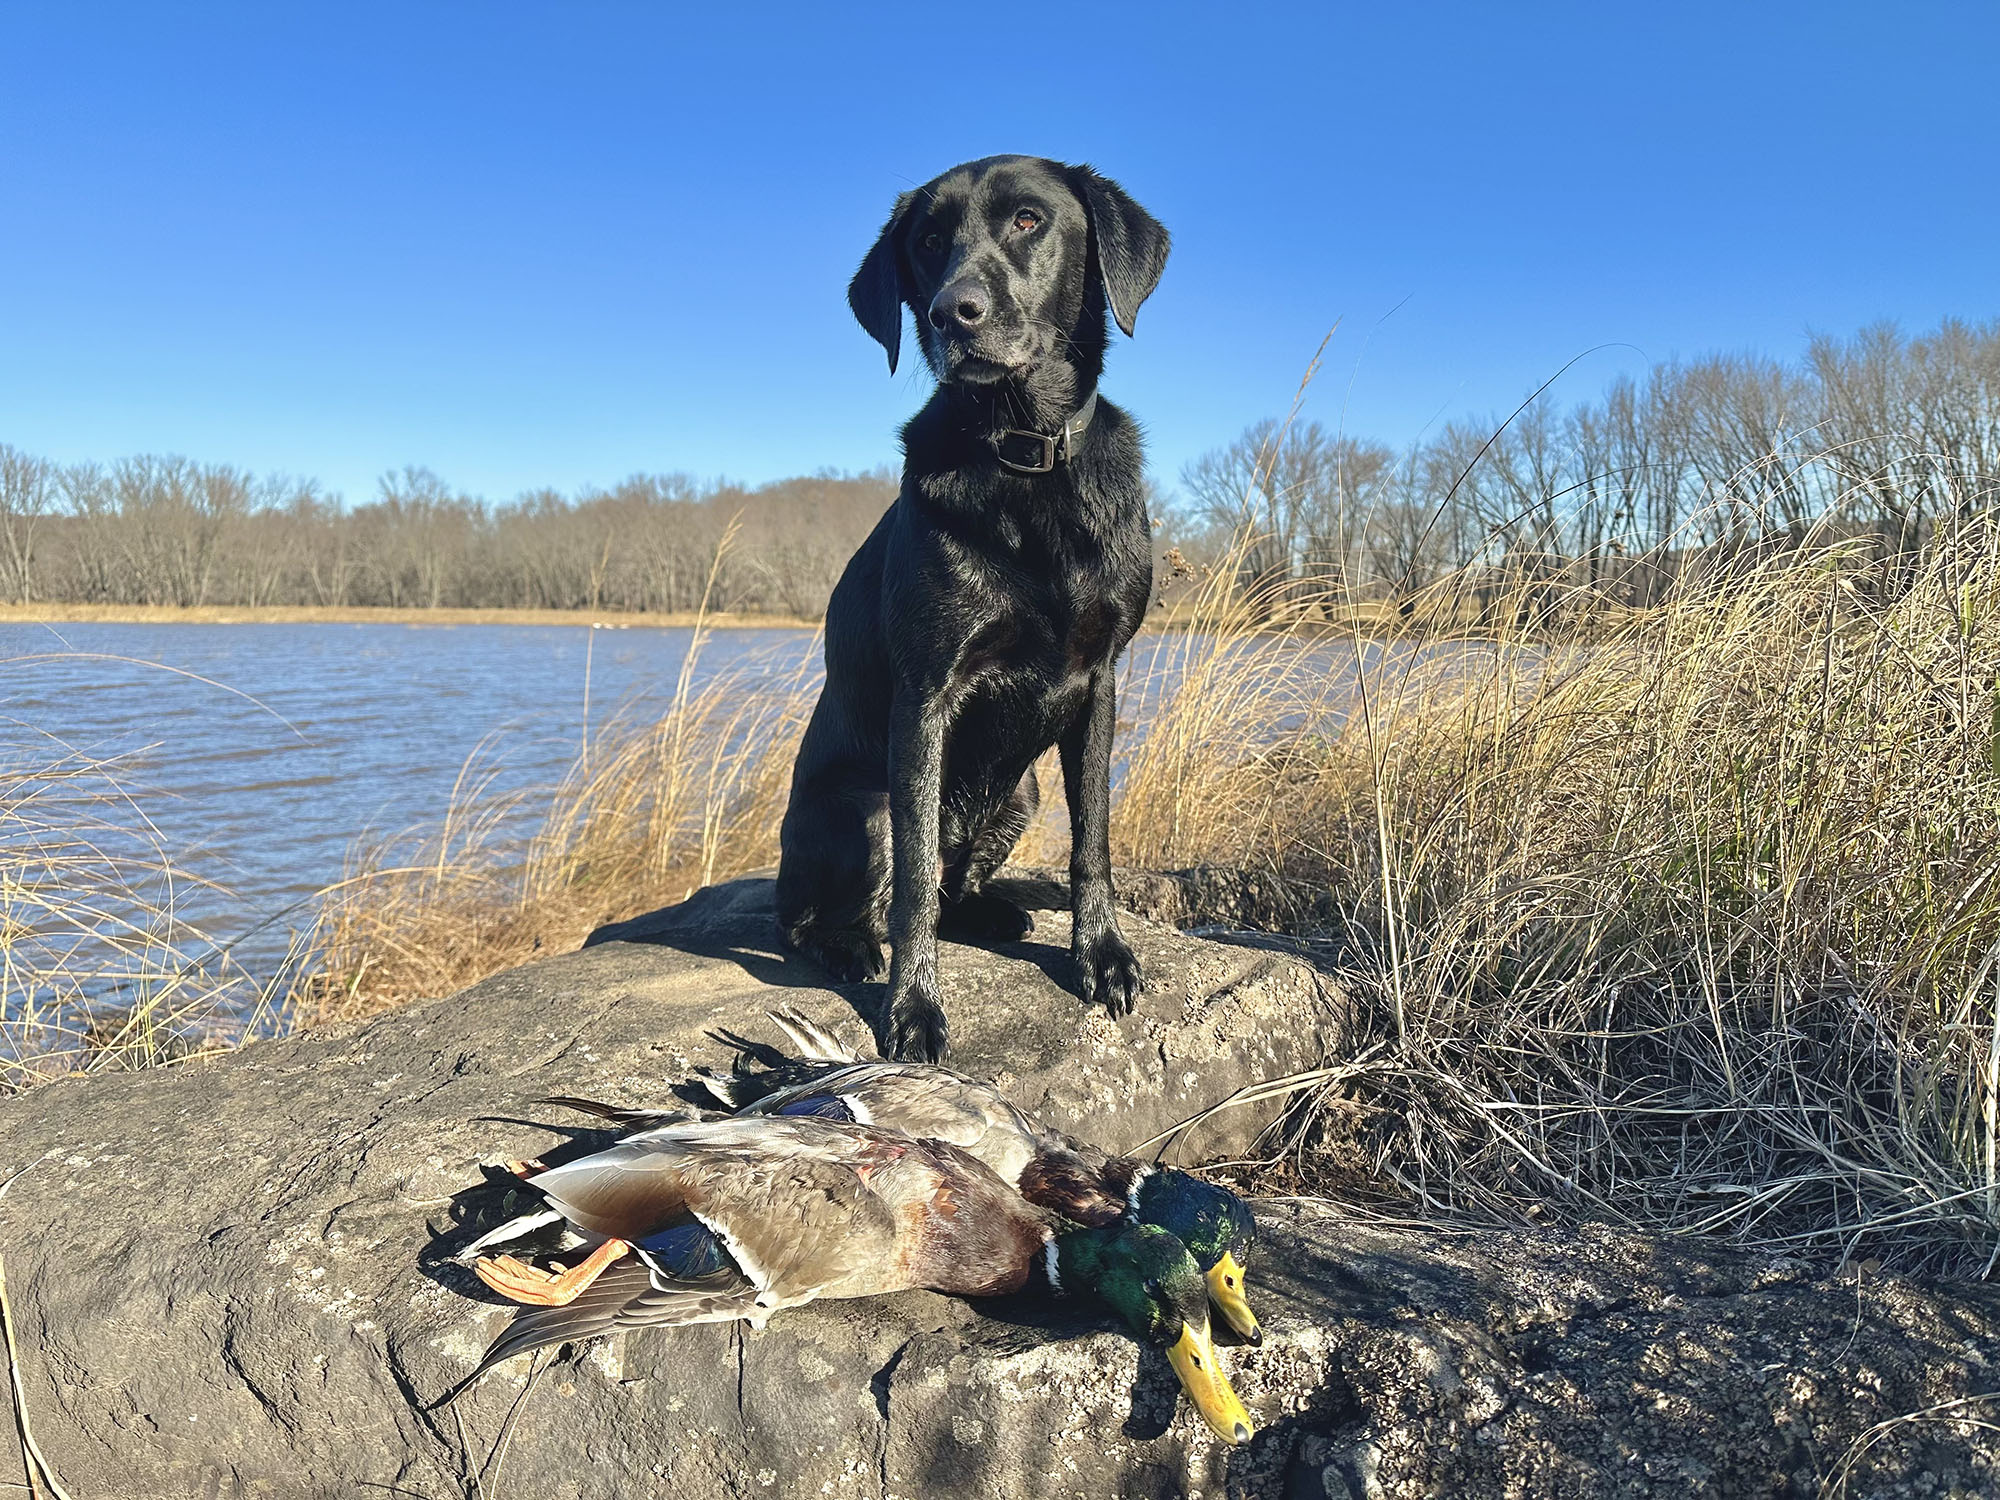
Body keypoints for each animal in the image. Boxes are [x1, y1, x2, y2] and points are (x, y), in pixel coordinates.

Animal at [772, 156, 1168, 1056]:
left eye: (1028, 220)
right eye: (926, 242)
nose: (954, 311)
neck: (1026, 457)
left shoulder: (1100, 679)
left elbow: (1093, 842)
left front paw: (1102, 956)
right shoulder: (927, 694)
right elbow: (915, 882)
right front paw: (913, 1008)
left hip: (1019, 794)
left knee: (957, 888)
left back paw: (994, 913)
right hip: (866, 808)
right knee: (827, 911)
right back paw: (848, 947)